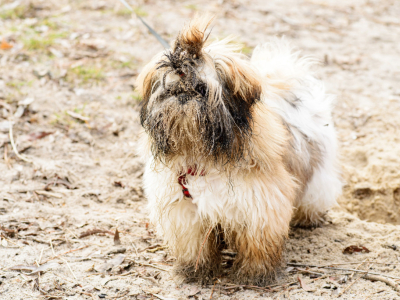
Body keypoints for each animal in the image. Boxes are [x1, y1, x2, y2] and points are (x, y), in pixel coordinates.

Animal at [136, 15, 342, 284]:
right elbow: (195, 245)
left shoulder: (259, 207)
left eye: (201, 88)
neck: (204, 154)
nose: (182, 94)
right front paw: (196, 270)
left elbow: (257, 245)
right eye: (169, 89)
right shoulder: (187, 212)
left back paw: (308, 219)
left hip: (318, 173)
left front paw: (254, 274)